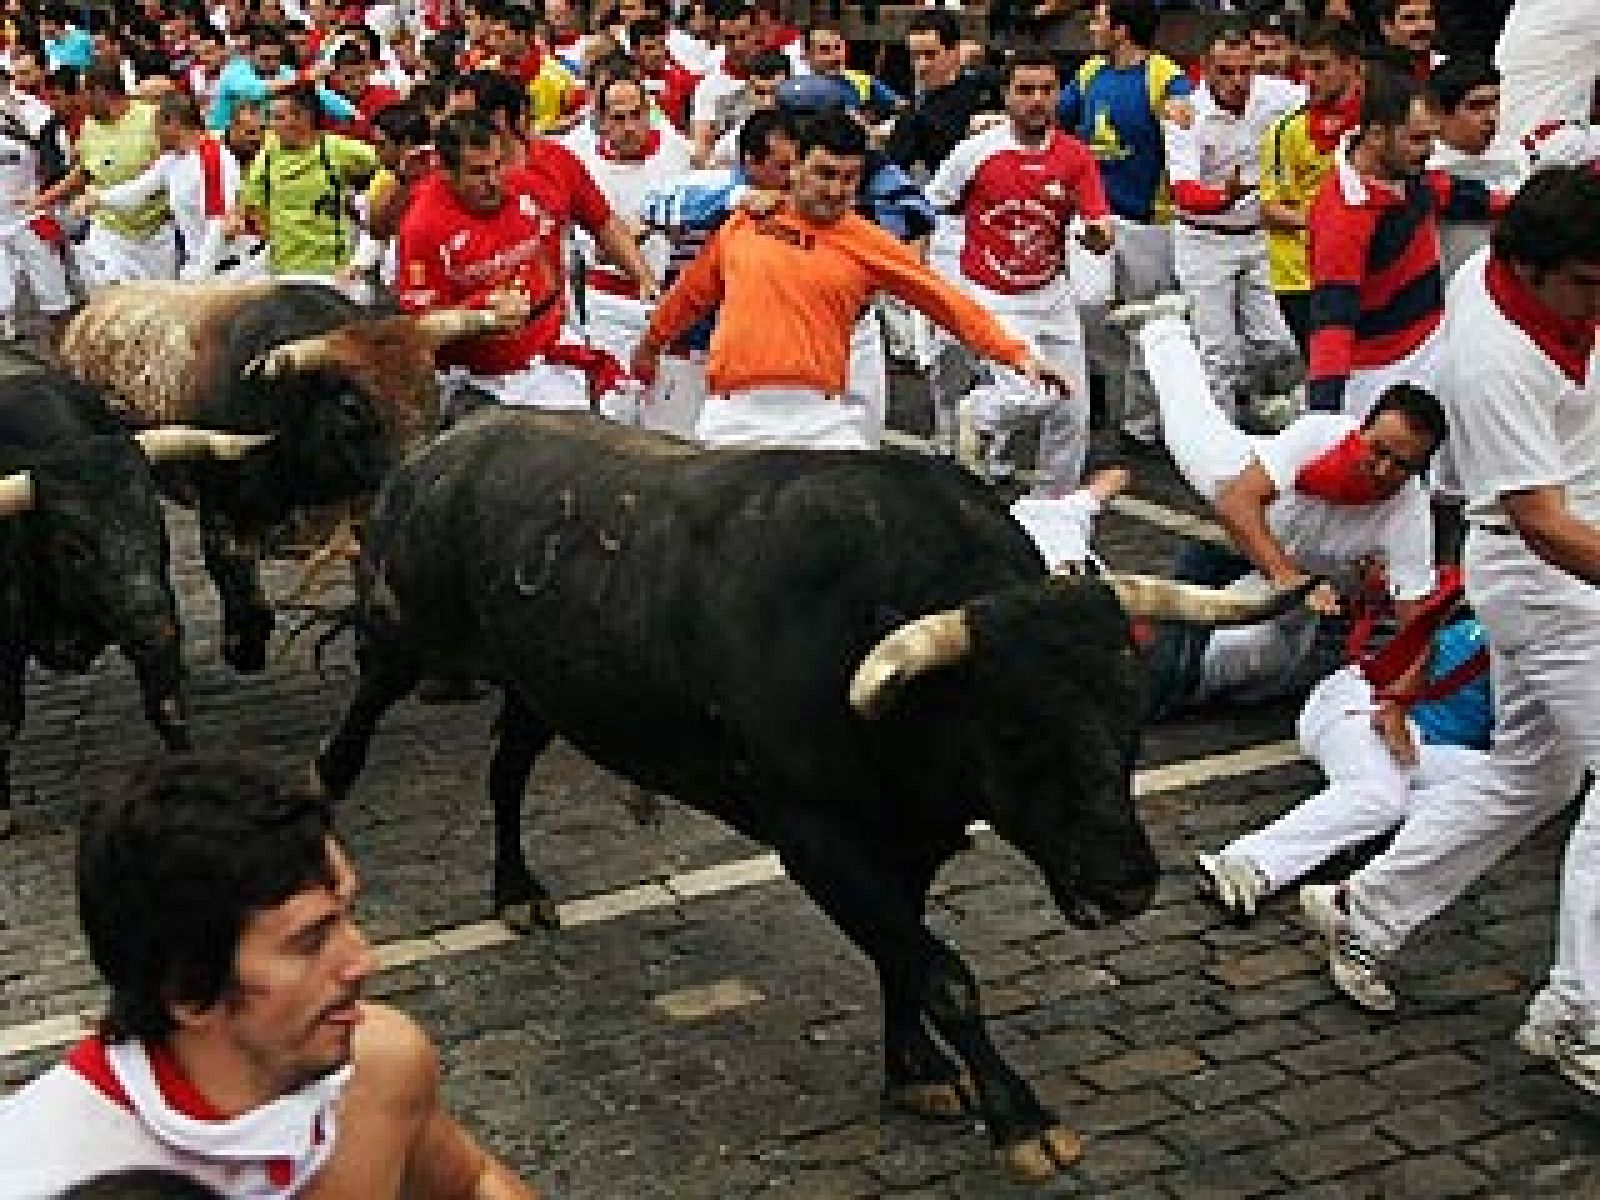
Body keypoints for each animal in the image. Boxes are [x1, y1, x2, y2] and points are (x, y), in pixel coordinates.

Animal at [318, 412, 1305, 1184]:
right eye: (1015, 731)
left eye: (1131, 714)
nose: (1126, 885)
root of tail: (446, 449)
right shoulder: (820, 841)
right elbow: (942, 972)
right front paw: (1021, 1118)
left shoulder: (908, 837)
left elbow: (904, 957)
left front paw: (913, 1070)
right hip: (410, 633)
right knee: (369, 699)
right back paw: (327, 784)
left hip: (541, 685)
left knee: (507, 770)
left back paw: (516, 890)